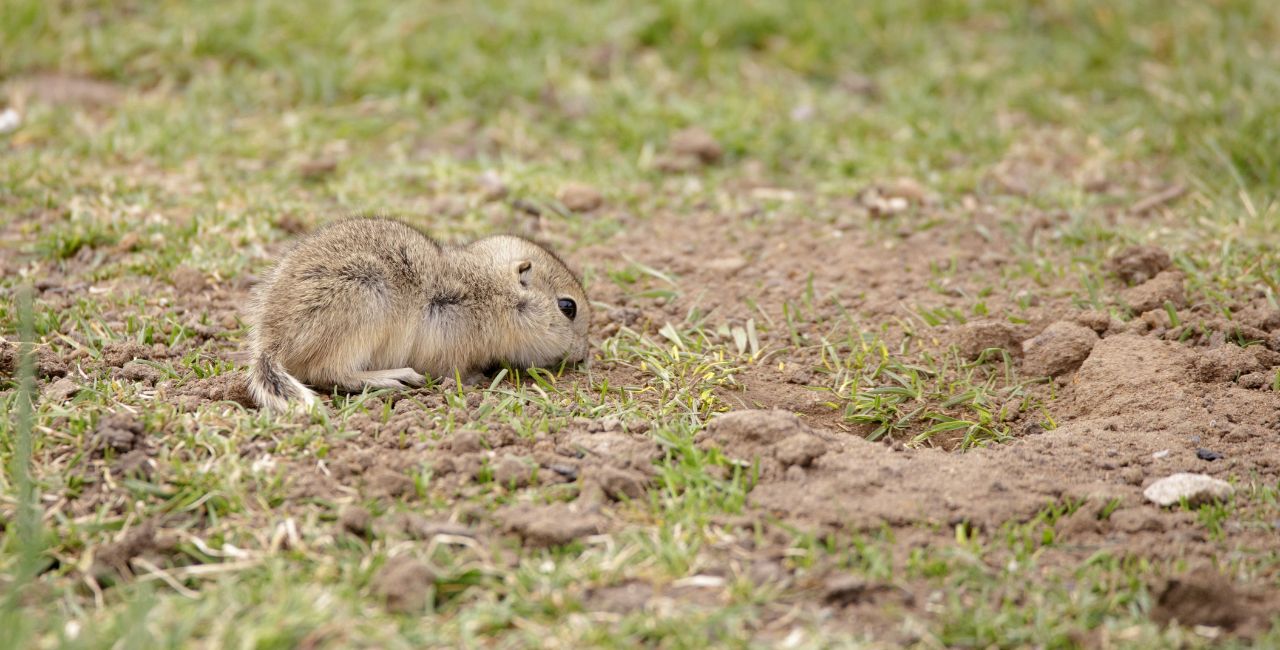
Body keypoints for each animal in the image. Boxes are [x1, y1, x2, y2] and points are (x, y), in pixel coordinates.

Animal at [244, 218, 588, 412]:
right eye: (567, 307)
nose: (583, 355)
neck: (487, 292)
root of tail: (270, 343)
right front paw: (477, 379)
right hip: (360, 303)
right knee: (330, 372)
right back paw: (396, 376)